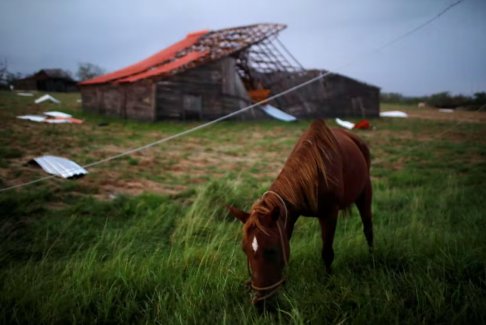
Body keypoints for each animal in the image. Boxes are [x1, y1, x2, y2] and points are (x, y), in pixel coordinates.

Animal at [230, 119, 374, 304]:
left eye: (272, 250)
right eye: (244, 249)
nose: (260, 303)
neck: (314, 171)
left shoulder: (329, 214)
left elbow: (327, 252)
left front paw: (328, 282)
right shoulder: (289, 215)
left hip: (365, 192)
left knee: (368, 228)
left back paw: (371, 258)